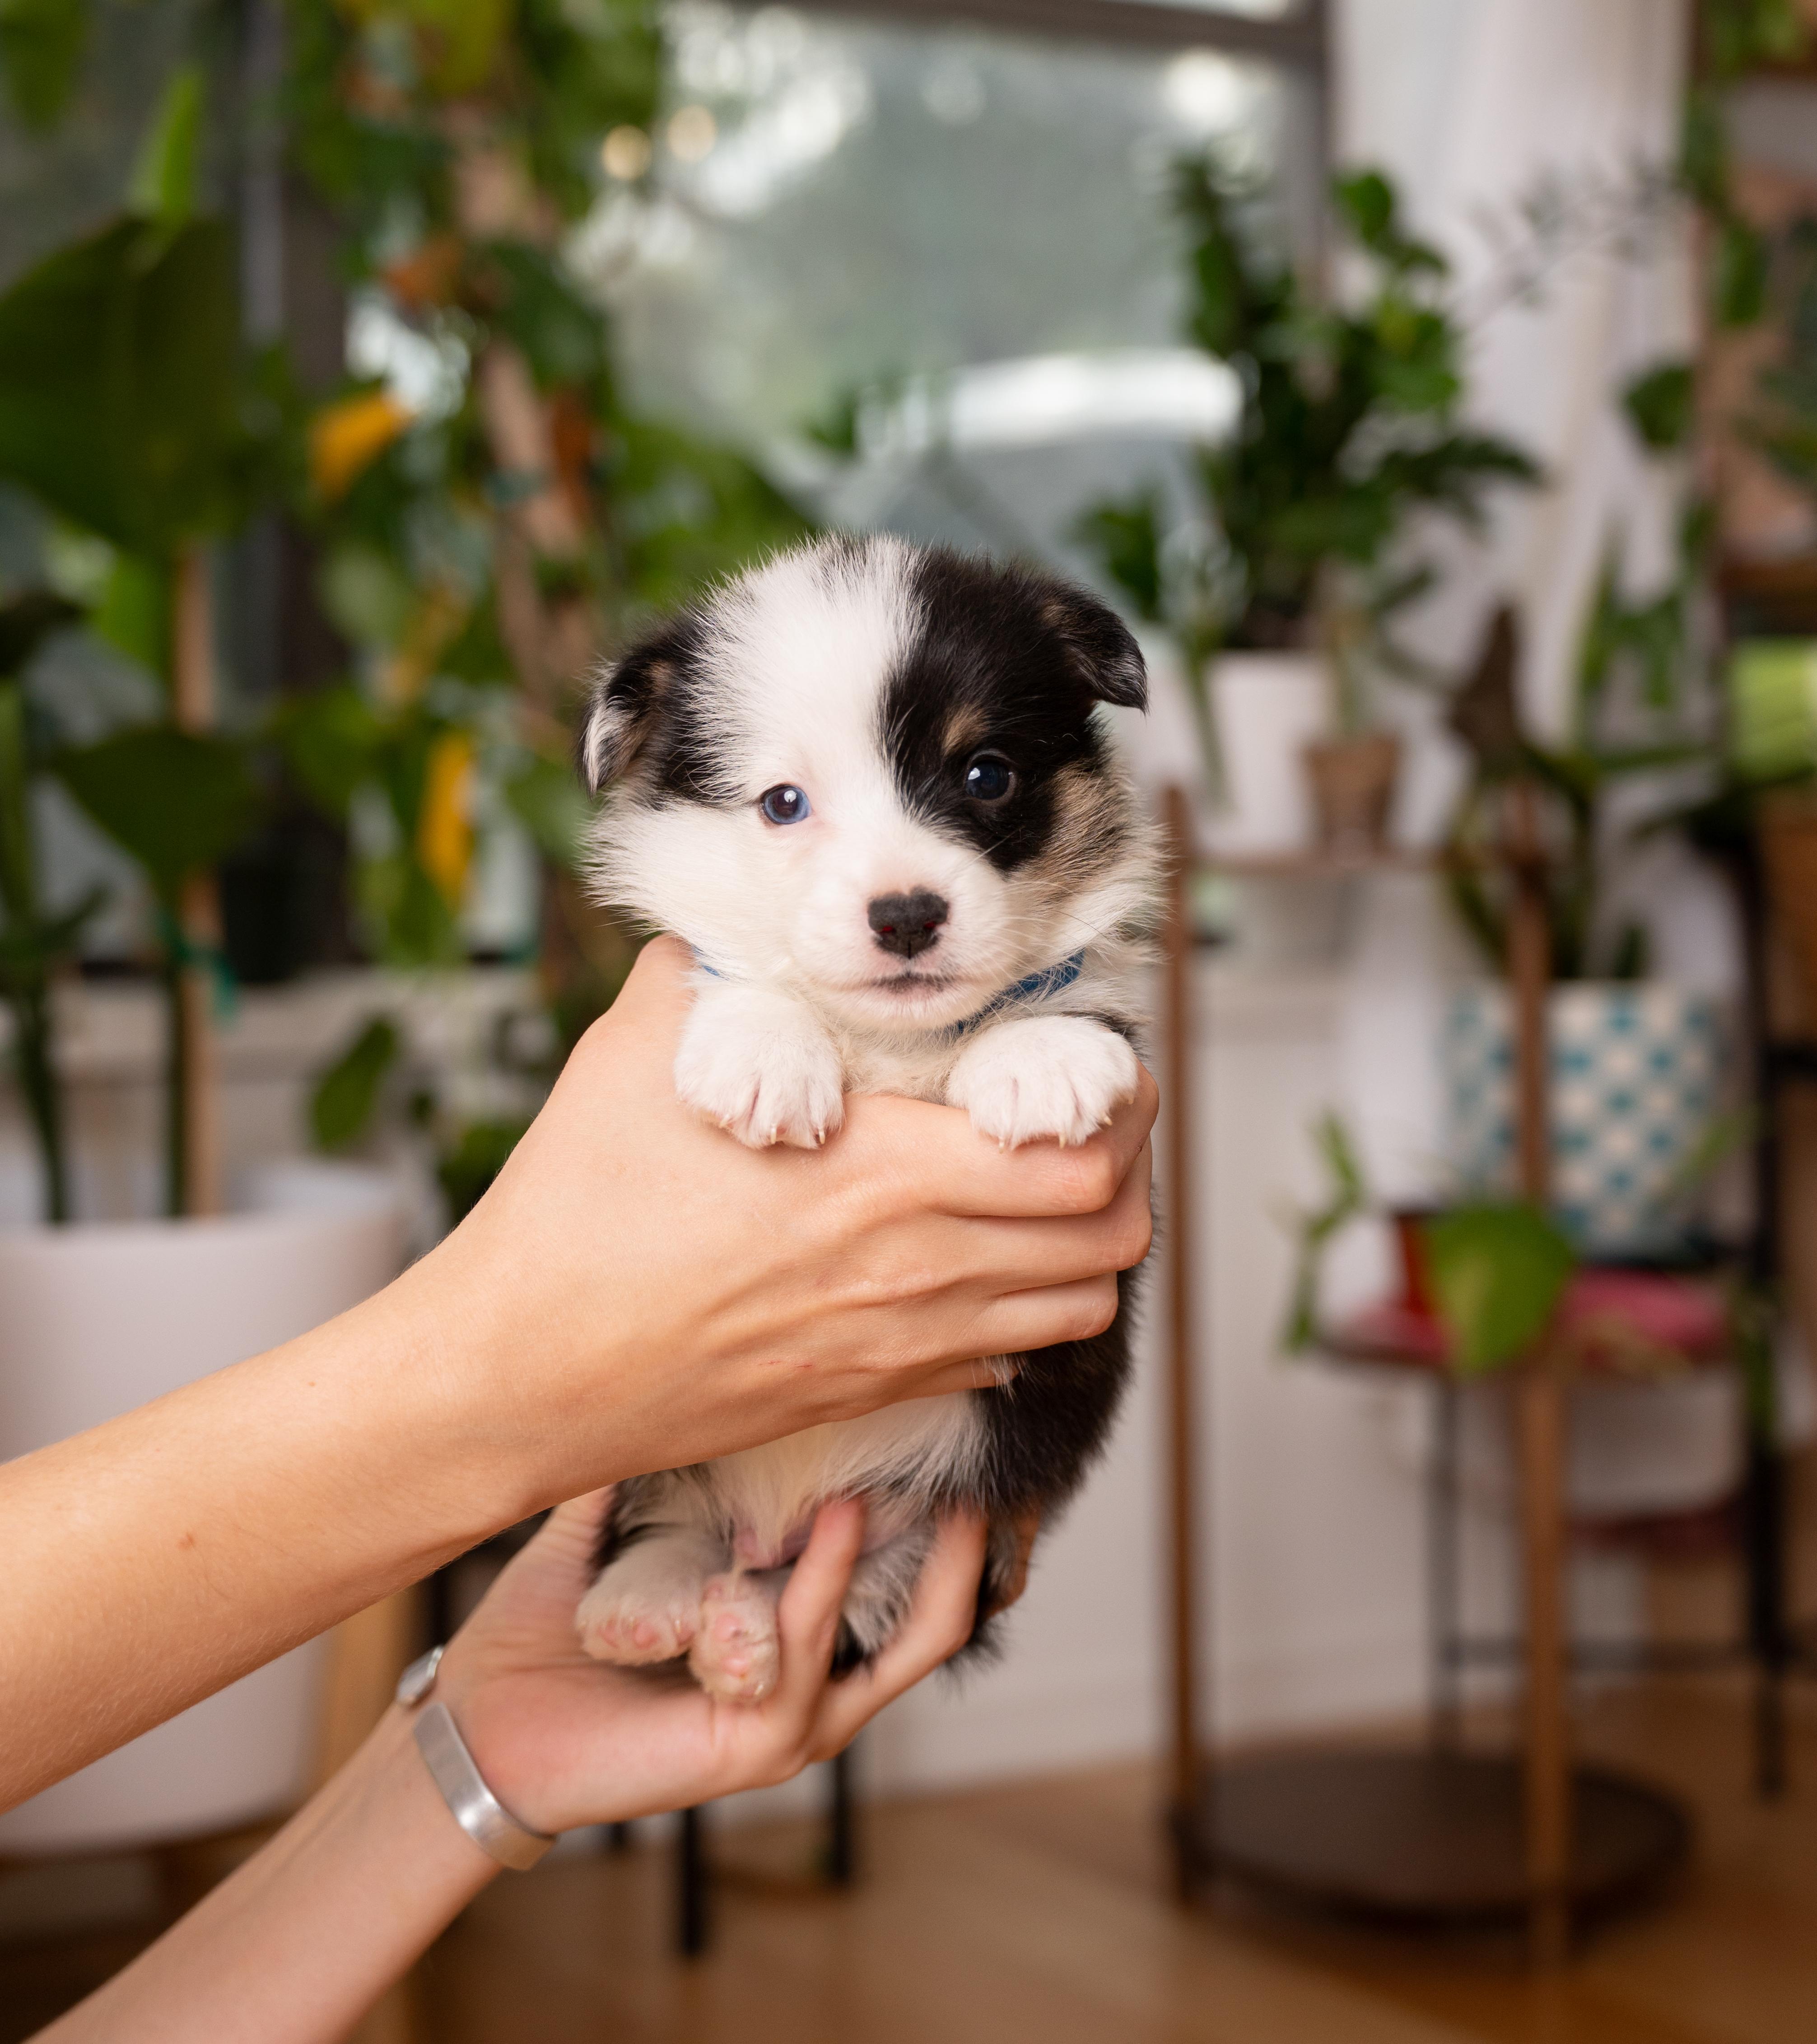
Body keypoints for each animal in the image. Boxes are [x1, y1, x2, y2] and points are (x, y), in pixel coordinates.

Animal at [572, 534, 1158, 1700]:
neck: (896, 1044)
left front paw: (1036, 1055)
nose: (905, 915)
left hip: (951, 1522)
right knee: (669, 1522)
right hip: (661, 1459)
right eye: (781, 803)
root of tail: (777, 1528)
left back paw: (743, 1631)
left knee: (847, 1593)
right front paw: (764, 1051)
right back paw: (646, 1602)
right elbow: (739, 975)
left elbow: (1061, 992)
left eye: (986, 775)